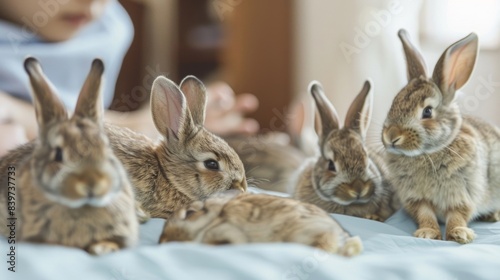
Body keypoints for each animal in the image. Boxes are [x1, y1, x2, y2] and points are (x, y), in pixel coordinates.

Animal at [380, 28, 500, 243]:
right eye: (393, 103)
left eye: (427, 112)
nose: (391, 136)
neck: (429, 153)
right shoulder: (416, 198)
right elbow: (425, 214)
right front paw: (427, 233)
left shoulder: (463, 194)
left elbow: (457, 215)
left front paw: (460, 233)